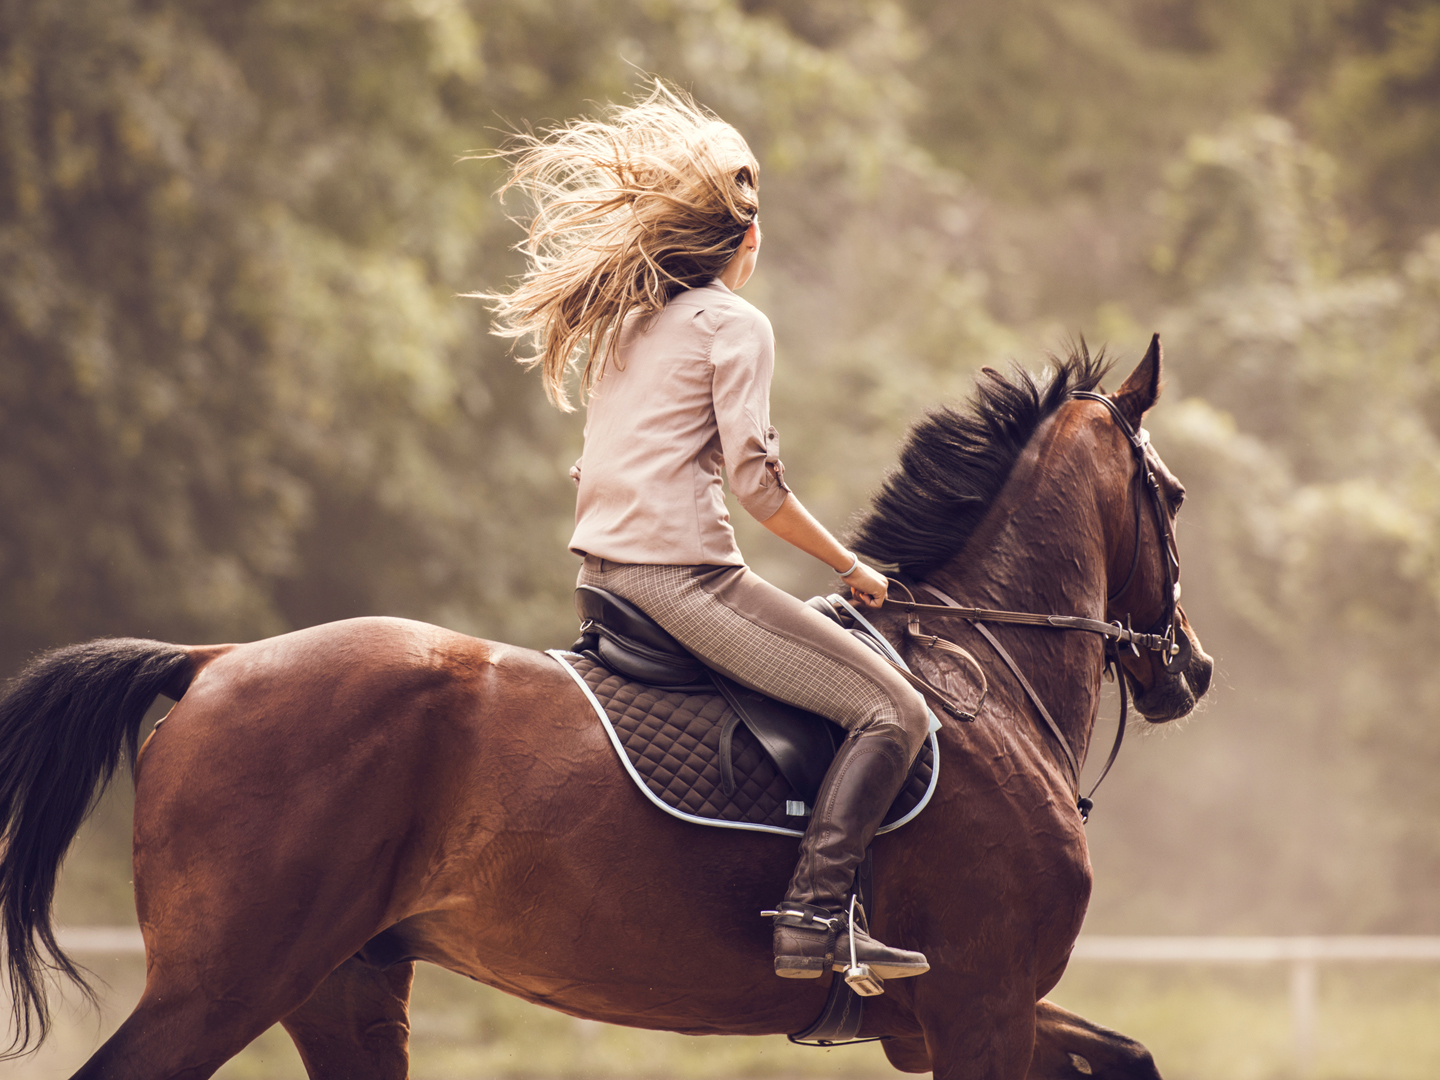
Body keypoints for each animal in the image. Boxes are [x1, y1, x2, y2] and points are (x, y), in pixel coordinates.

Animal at [0, 336, 1215, 1077]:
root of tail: (212, 662)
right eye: (1173, 495)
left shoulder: (954, 1015)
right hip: (227, 982)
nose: (1191, 671)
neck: (983, 677)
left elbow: (1134, 1056)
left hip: (343, 984)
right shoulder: (979, 1005)